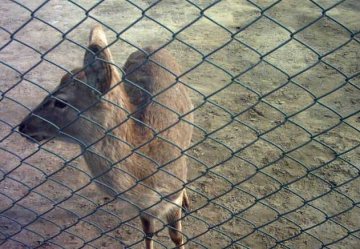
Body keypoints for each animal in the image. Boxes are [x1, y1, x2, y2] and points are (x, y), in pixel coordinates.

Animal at [19, 25, 194, 249]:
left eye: (60, 102)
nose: (23, 126)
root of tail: (151, 47)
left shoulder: (172, 194)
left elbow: (177, 236)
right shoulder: (142, 207)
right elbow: (148, 233)